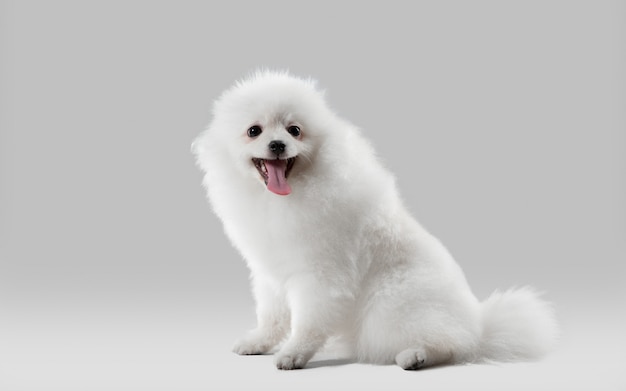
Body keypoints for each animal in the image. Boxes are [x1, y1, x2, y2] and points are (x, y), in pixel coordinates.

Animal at [191, 71, 556, 370]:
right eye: (254, 131)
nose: (278, 144)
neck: (282, 199)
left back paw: (416, 355)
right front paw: (259, 342)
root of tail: (479, 327)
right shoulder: (270, 271)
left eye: (295, 130)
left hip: (391, 305)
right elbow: (272, 316)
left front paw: (294, 354)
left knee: (450, 345)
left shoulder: (321, 275)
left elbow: (307, 322)